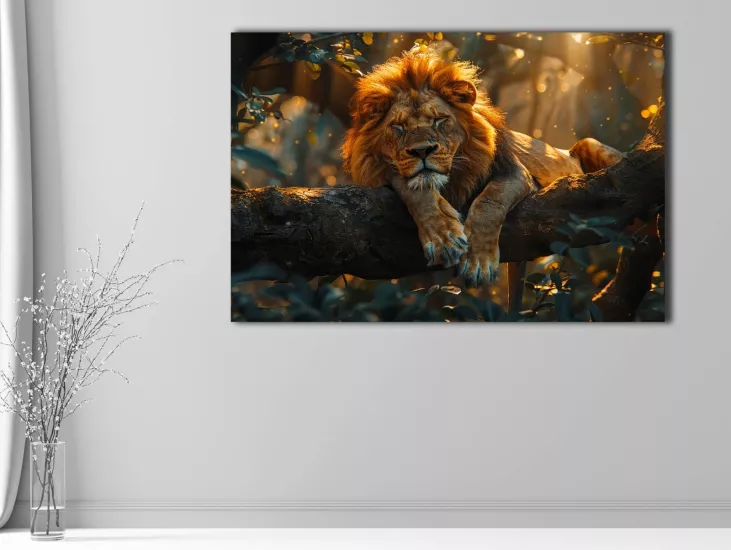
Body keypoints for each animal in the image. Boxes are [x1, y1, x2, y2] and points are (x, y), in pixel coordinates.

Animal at [342, 50, 622, 287]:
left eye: (439, 120)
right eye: (398, 127)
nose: (422, 151)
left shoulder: (517, 174)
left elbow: (490, 201)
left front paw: (478, 263)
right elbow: (413, 189)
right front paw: (443, 238)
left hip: (590, 144)